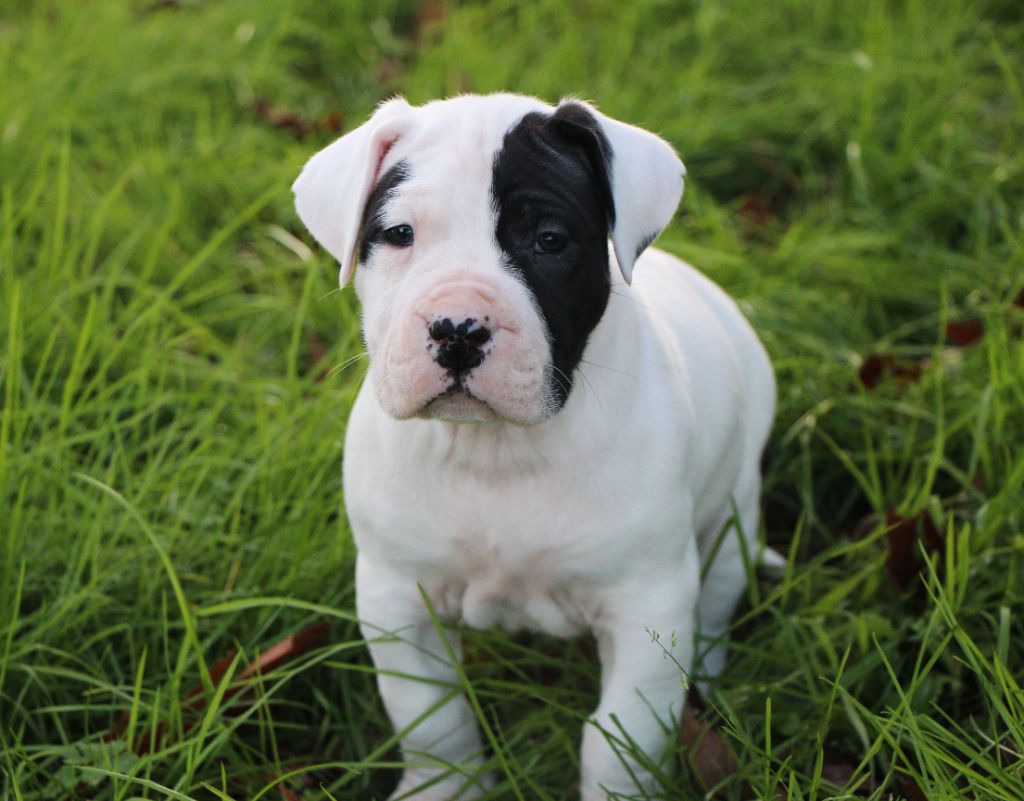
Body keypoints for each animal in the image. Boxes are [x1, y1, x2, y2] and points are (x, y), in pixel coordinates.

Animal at [292, 93, 776, 800]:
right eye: (399, 234)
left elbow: (621, 739)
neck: (497, 450)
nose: (458, 329)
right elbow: (431, 717)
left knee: (716, 597)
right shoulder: (397, 597)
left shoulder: (646, 609)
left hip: (735, 511)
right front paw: (445, 787)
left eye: (549, 240)